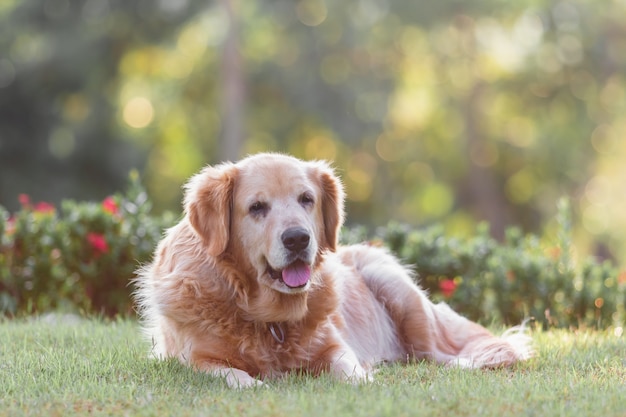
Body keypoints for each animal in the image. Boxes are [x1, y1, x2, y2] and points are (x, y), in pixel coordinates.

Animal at [134, 153, 528, 386]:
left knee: (444, 354)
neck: (267, 319)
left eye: (306, 199)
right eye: (257, 207)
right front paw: (256, 384)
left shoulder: (335, 346)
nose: (297, 239)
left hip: (398, 290)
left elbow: (348, 367)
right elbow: (233, 376)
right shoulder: (192, 359)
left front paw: (364, 379)